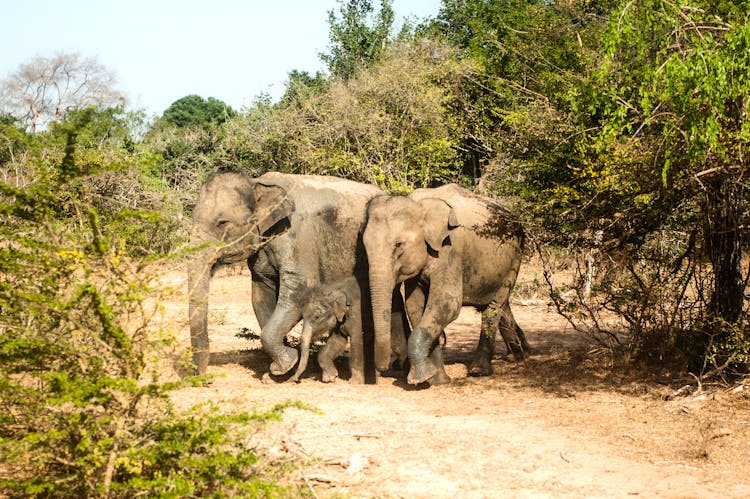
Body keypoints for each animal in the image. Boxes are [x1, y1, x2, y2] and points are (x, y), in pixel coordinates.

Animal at [188, 173, 412, 378]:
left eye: (222, 222)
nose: (202, 376)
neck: (257, 182)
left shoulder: (297, 237)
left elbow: (297, 291)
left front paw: (285, 365)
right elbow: (261, 296)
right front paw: (280, 371)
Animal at [362, 186, 528, 384]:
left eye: (399, 244)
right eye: (364, 246)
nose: (383, 369)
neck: (420, 204)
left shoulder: (451, 249)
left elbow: (447, 302)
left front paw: (419, 378)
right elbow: (416, 307)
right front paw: (437, 380)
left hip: (515, 258)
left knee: (494, 307)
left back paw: (479, 370)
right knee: (499, 304)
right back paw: (521, 354)